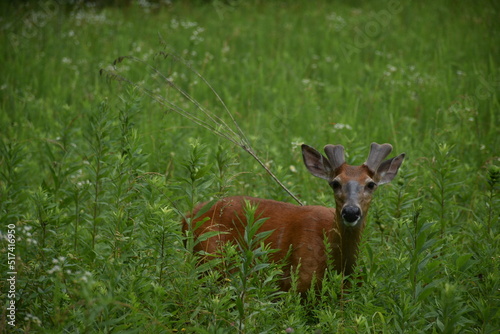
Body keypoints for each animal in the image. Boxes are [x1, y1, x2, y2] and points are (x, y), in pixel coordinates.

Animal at [184, 142, 406, 294]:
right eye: (335, 183)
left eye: (371, 184)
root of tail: (189, 215)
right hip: (209, 260)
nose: (351, 211)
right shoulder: (299, 285)